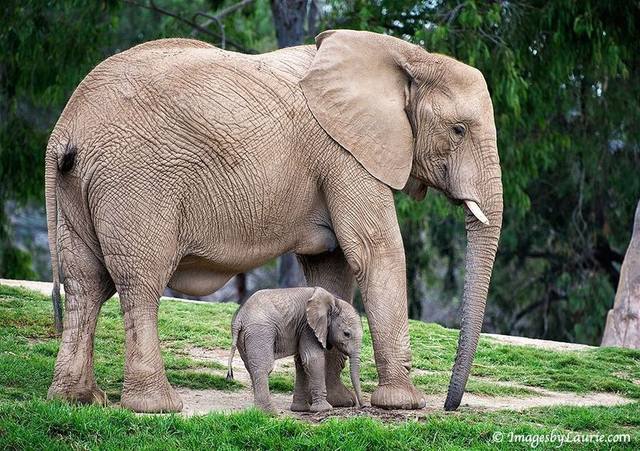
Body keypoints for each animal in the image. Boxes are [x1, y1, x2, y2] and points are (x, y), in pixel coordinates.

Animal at [228, 290, 362, 414]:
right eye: (346, 334)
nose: (361, 405)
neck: (333, 301)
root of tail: (239, 318)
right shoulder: (308, 327)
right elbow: (312, 359)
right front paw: (324, 409)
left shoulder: (301, 328)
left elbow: (301, 361)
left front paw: (300, 410)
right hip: (260, 332)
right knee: (263, 367)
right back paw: (269, 413)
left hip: (244, 337)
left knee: (250, 367)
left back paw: (257, 411)